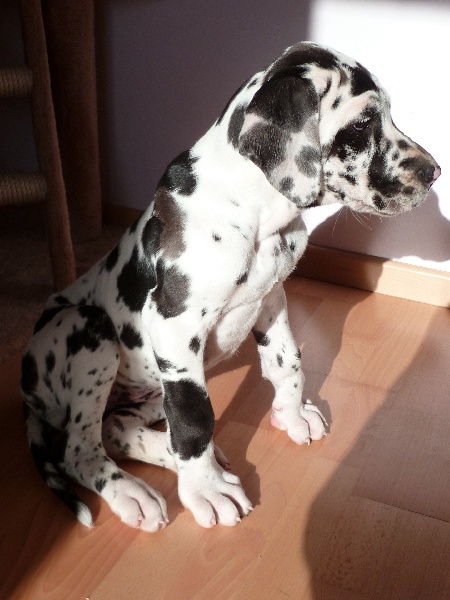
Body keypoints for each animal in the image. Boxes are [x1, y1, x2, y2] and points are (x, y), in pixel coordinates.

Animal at [21, 42, 440, 532]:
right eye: (362, 123)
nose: (434, 173)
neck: (257, 217)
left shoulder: (273, 296)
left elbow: (287, 361)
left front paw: (292, 415)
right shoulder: (173, 326)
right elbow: (194, 417)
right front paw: (206, 491)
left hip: (145, 394)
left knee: (116, 429)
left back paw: (170, 459)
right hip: (89, 328)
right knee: (80, 449)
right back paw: (134, 492)